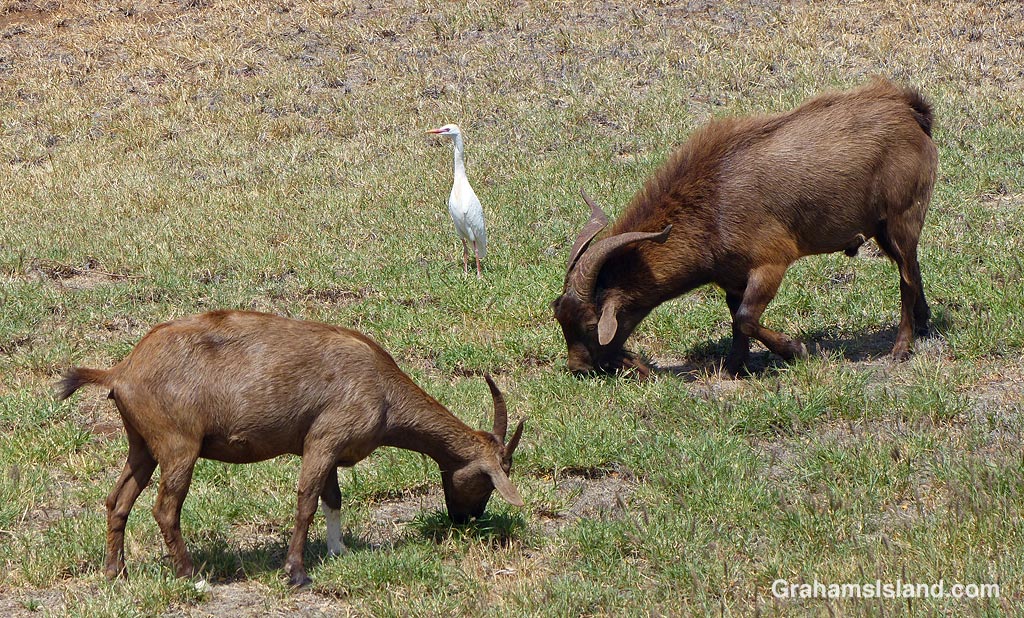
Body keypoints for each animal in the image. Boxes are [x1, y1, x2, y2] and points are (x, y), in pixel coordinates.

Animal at [58, 310, 525, 587]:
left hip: (142, 445)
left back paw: (115, 571)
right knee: (165, 509)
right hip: (178, 445)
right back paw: (192, 575)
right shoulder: (325, 439)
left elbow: (332, 498)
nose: (466, 519)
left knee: (117, 500)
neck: (384, 389)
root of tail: (121, 371)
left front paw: (338, 550)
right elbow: (306, 502)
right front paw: (296, 572)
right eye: (489, 479)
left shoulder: (327, 445)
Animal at [553, 78, 937, 377]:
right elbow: (735, 316)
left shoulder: (770, 262)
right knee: (912, 267)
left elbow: (746, 318)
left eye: (590, 325)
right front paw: (734, 367)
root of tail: (910, 111)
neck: (713, 204)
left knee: (905, 276)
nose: (579, 368)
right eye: (559, 316)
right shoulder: (732, 277)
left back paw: (900, 348)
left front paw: (796, 349)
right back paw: (924, 325)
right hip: (883, 227)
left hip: (902, 214)